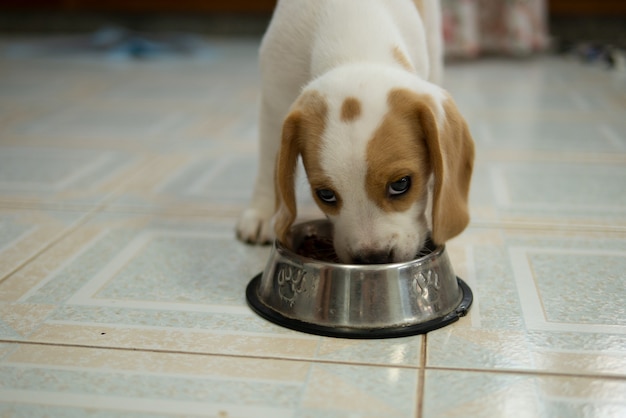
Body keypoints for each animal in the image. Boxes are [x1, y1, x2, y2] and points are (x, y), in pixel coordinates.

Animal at [235, 0, 472, 262]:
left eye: (401, 184)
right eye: (325, 194)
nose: (373, 258)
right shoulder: (273, 102)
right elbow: (269, 165)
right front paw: (263, 213)